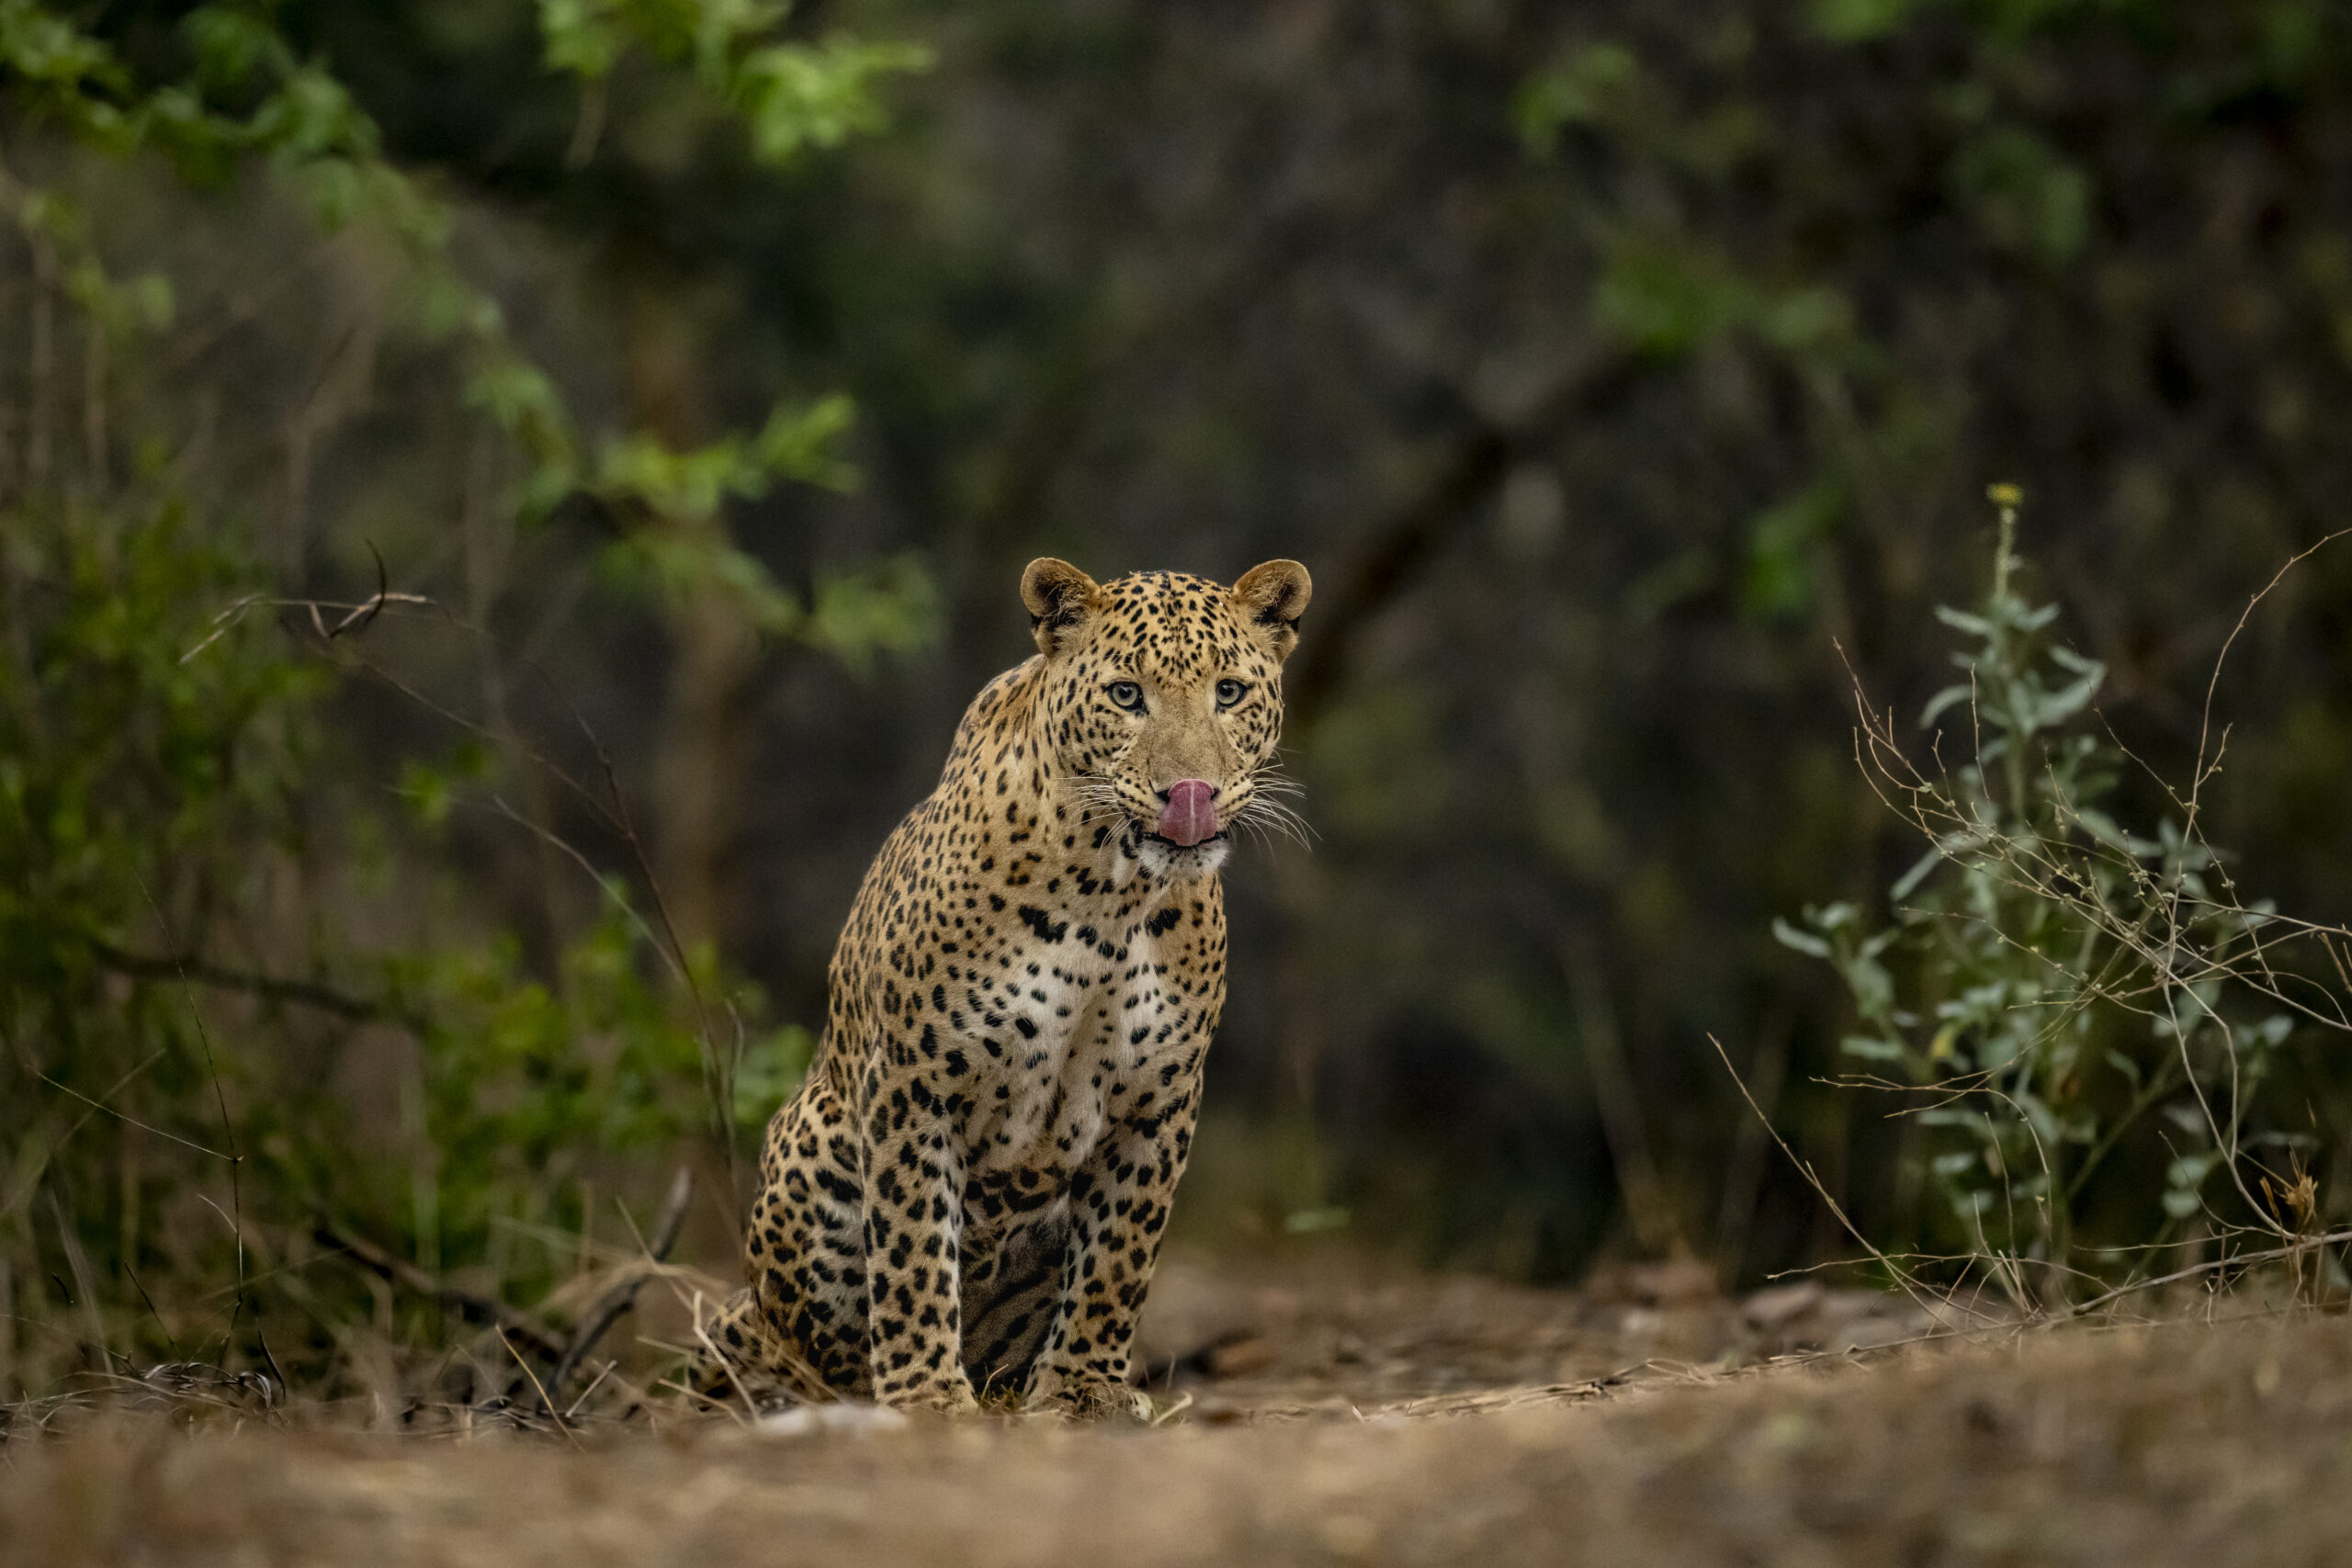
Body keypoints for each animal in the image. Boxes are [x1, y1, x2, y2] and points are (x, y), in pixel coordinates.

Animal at [699, 556, 1312, 1418]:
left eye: (1229, 692)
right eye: (1127, 695)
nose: (1189, 791)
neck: (1112, 895)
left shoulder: (1158, 1099)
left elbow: (1118, 1257)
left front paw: (1086, 1388)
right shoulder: (912, 1083)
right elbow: (914, 1248)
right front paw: (925, 1394)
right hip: (807, 1147)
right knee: (802, 1344)